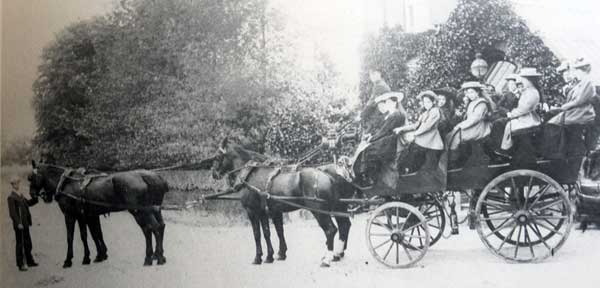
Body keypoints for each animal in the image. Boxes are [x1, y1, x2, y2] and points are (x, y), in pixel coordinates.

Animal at [27, 161, 169, 266]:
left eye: (31, 178)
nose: (33, 195)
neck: (67, 183)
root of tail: (150, 176)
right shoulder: (88, 216)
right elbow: (94, 234)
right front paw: (99, 255)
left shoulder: (71, 215)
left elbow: (72, 236)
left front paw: (69, 259)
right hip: (153, 209)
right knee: (159, 226)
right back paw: (158, 255)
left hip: (139, 211)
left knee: (151, 228)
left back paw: (151, 258)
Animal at [207, 138, 354, 266]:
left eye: (217, 156)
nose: (214, 174)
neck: (251, 175)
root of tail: (328, 176)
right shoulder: (270, 212)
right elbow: (273, 232)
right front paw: (274, 255)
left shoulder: (253, 211)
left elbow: (258, 234)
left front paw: (258, 257)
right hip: (336, 207)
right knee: (344, 225)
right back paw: (336, 254)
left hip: (319, 211)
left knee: (331, 230)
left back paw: (327, 259)